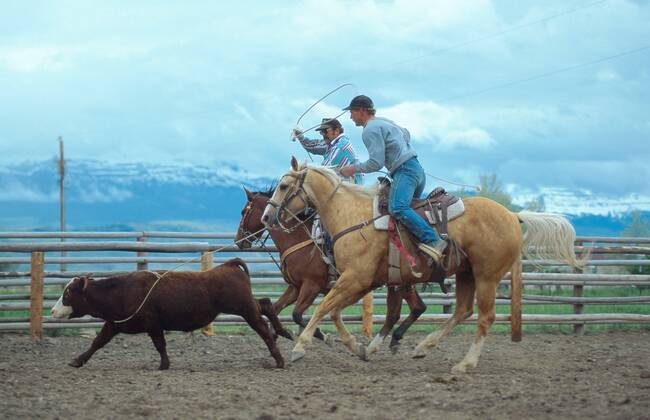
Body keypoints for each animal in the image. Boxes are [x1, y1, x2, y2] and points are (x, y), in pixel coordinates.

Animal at [235, 187, 429, 356]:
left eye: (244, 211)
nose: (238, 240)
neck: (298, 239)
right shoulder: (295, 287)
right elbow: (276, 309)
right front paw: (278, 337)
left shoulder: (311, 286)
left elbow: (297, 314)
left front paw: (324, 337)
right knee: (418, 307)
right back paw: (395, 340)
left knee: (408, 309)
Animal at [261, 157, 582, 373]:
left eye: (284, 186)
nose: (266, 217)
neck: (353, 217)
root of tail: (513, 216)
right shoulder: (361, 281)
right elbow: (334, 310)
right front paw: (357, 347)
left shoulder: (353, 278)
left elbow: (321, 309)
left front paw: (301, 347)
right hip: (466, 274)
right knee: (462, 311)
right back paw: (423, 347)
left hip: (487, 275)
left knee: (484, 317)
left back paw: (465, 364)